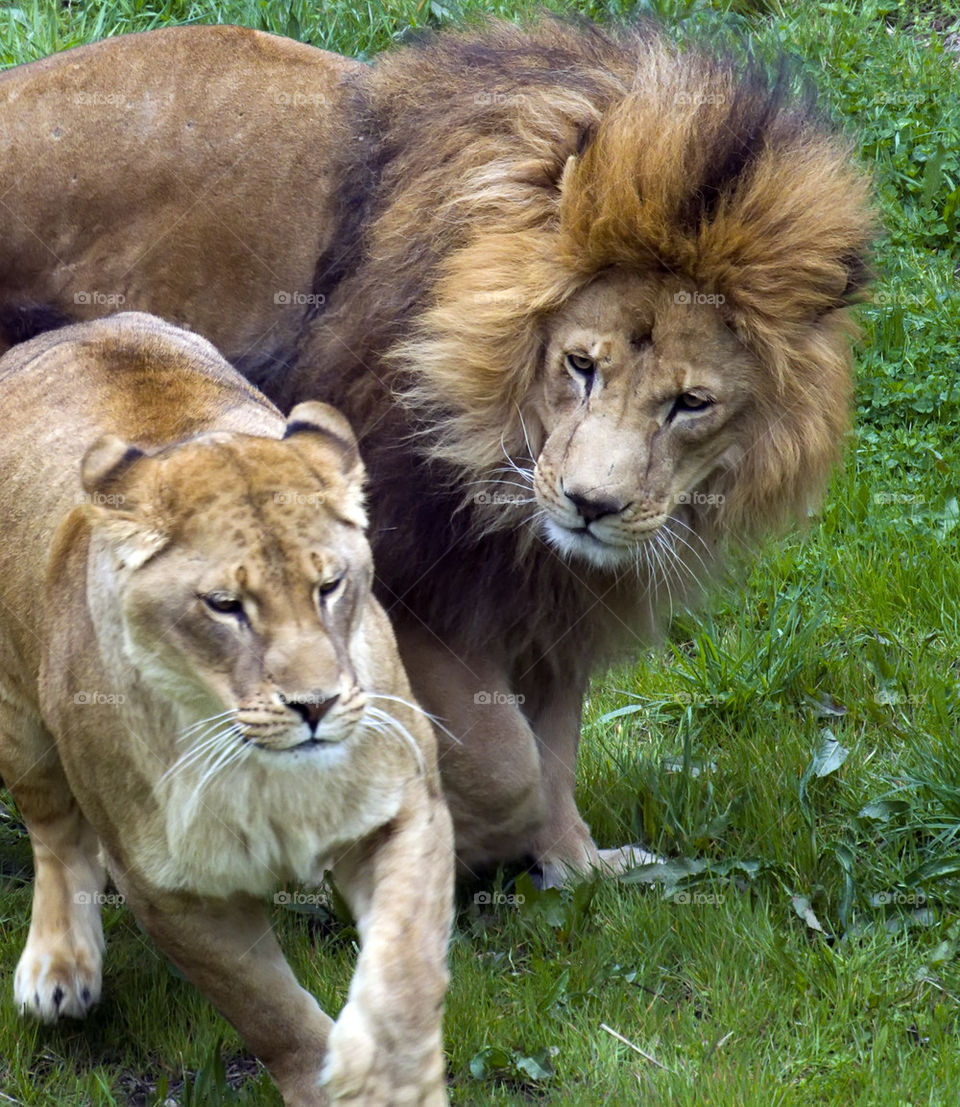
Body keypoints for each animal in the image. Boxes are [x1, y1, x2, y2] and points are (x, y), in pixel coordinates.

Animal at [0, 17, 873, 886]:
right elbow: (510, 758)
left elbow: (556, 742)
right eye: (580, 365)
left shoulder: (550, 593)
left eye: (691, 403)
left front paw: (574, 864)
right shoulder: (404, 579)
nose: (592, 505)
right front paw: (456, 835)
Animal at [0, 312, 453, 1106]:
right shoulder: (169, 894)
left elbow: (406, 957)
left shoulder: (407, 807)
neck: (261, 771)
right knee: (56, 834)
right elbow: (270, 1012)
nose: (316, 704)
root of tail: (78, 325)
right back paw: (58, 969)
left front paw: (391, 1075)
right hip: (17, 721)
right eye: (224, 606)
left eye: (331, 585)